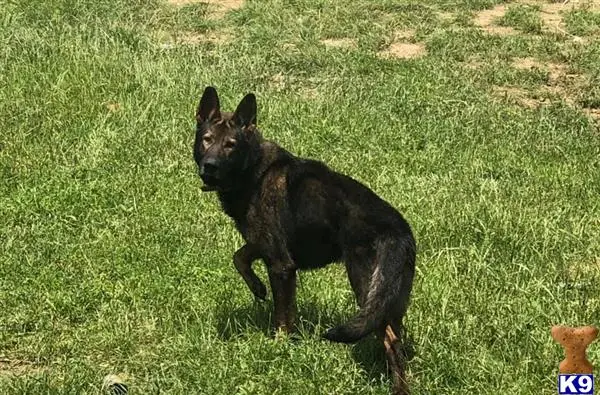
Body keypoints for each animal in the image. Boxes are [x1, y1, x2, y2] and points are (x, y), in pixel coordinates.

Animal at [193, 87, 418, 395]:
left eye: (230, 145)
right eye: (206, 139)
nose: (209, 167)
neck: (252, 170)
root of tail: (400, 230)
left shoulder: (281, 265)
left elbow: (282, 317)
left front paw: (279, 348)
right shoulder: (265, 245)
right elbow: (239, 257)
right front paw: (257, 288)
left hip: (365, 286)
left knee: (391, 340)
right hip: (389, 298)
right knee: (396, 338)